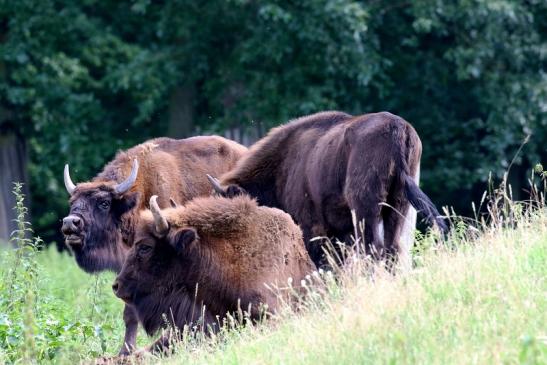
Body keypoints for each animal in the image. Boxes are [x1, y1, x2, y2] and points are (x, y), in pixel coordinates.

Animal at [208, 111, 448, 268]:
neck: (283, 164)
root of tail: (399, 129)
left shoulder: (311, 227)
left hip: (366, 210)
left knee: (374, 249)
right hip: (397, 208)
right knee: (392, 250)